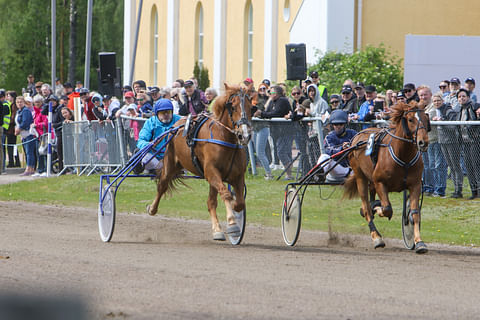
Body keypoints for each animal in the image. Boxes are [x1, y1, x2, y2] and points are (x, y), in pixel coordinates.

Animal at [147, 84, 253, 241]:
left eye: (251, 107)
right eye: (233, 107)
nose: (244, 135)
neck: (225, 140)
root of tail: (177, 123)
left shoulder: (237, 176)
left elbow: (239, 203)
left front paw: (234, 212)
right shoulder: (211, 171)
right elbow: (226, 194)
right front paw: (233, 224)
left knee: (211, 202)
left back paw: (217, 230)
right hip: (170, 163)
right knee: (162, 185)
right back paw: (152, 208)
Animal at [344, 101, 432, 254]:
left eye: (426, 119)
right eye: (410, 119)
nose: (423, 142)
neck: (402, 154)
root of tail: (356, 137)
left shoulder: (415, 185)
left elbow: (415, 213)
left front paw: (419, 242)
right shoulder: (380, 182)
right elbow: (386, 209)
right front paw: (377, 209)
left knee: (369, 201)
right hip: (360, 177)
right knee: (366, 207)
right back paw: (377, 238)